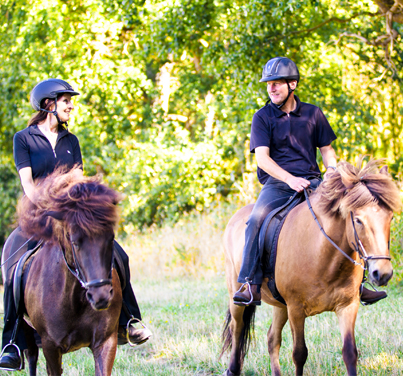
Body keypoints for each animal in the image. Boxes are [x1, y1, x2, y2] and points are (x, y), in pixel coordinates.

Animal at [223, 160, 402, 374]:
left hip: (280, 305)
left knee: (272, 339)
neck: (323, 255)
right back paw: (232, 368)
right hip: (238, 296)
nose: (382, 273)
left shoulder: (348, 306)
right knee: (237, 328)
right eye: (358, 220)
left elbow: (350, 352)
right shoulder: (296, 309)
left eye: (390, 218)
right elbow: (300, 354)